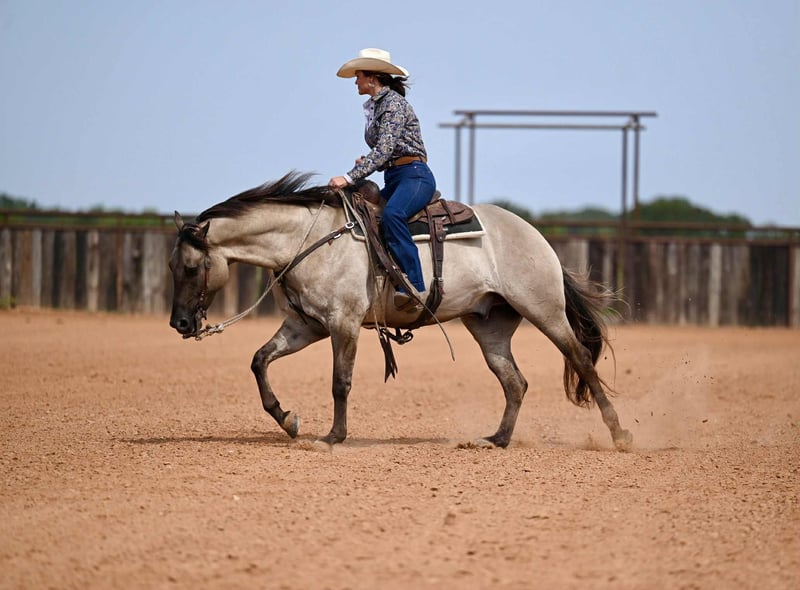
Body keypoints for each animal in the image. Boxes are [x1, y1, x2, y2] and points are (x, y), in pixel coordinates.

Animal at [168, 171, 633, 450]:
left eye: (191, 267)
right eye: (172, 266)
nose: (180, 323)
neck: (308, 239)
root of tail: (535, 236)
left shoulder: (343, 324)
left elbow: (340, 382)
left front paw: (333, 436)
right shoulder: (305, 325)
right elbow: (259, 360)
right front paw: (288, 419)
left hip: (544, 310)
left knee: (580, 361)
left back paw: (621, 434)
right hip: (489, 326)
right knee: (514, 381)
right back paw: (496, 440)